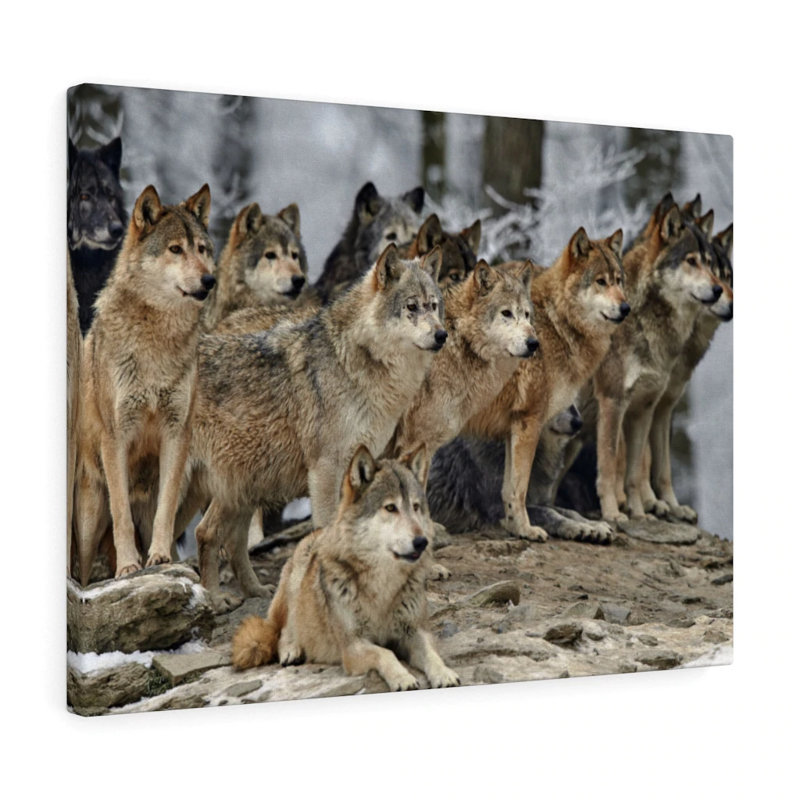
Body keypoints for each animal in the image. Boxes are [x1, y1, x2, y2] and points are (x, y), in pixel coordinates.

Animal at [74, 184, 217, 583]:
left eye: (203, 249)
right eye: (175, 249)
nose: (210, 280)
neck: (157, 341)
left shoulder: (177, 433)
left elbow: (163, 511)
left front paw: (158, 557)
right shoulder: (116, 436)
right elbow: (121, 513)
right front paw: (128, 566)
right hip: (88, 518)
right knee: (85, 572)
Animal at [187, 244, 445, 605]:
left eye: (433, 306)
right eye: (411, 307)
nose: (442, 335)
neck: (356, 361)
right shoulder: (325, 469)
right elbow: (325, 526)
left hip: (245, 483)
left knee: (223, 537)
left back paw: (254, 590)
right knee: (205, 533)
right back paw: (212, 598)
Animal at [230, 445, 460, 692]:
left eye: (416, 507)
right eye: (391, 508)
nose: (421, 542)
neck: (383, 585)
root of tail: (315, 532)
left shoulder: (414, 631)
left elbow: (431, 654)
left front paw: (444, 674)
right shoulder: (352, 646)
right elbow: (385, 653)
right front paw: (403, 678)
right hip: (294, 582)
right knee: (283, 629)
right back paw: (291, 650)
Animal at [461, 227, 629, 542]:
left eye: (618, 280)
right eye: (600, 282)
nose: (626, 307)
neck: (557, 322)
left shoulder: (514, 426)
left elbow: (511, 489)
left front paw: (515, 527)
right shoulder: (530, 420)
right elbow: (521, 488)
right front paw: (526, 529)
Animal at [593, 195, 722, 522]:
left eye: (711, 264)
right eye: (691, 261)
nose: (718, 290)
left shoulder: (650, 407)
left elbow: (642, 469)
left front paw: (643, 513)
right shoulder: (613, 402)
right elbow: (611, 465)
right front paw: (612, 513)